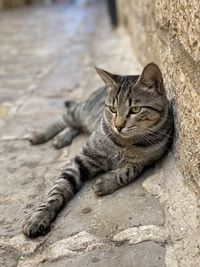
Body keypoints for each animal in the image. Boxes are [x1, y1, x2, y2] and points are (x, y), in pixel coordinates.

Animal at [23, 63, 173, 239]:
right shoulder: (82, 158)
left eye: (135, 109)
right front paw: (38, 217)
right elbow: (57, 190)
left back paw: (62, 138)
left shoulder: (144, 162)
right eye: (113, 109)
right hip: (79, 112)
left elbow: (128, 172)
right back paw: (42, 135)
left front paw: (106, 182)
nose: (118, 126)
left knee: (76, 126)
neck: (124, 142)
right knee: (64, 119)